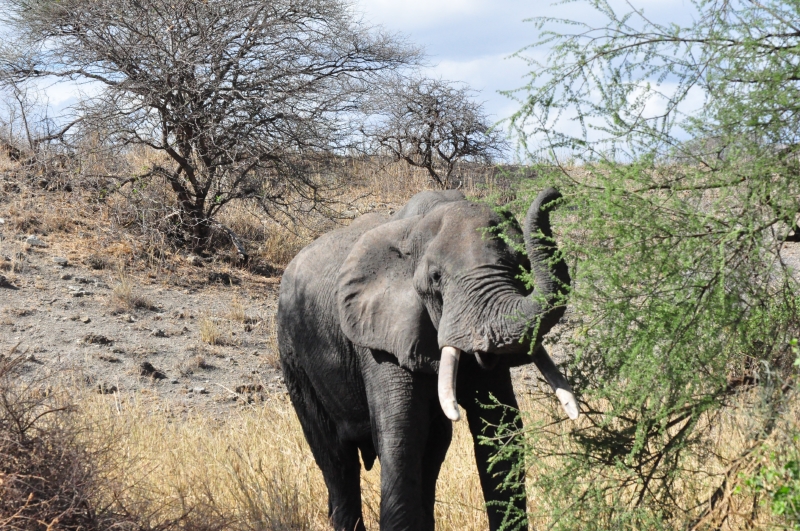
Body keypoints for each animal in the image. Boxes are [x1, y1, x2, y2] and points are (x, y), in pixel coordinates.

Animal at [276, 187, 578, 531]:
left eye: (522, 264)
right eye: (436, 277)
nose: (554, 192)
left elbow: (500, 428)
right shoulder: (379, 338)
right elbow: (402, 438)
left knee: (431, 450)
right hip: (293, 354)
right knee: (335, 458)